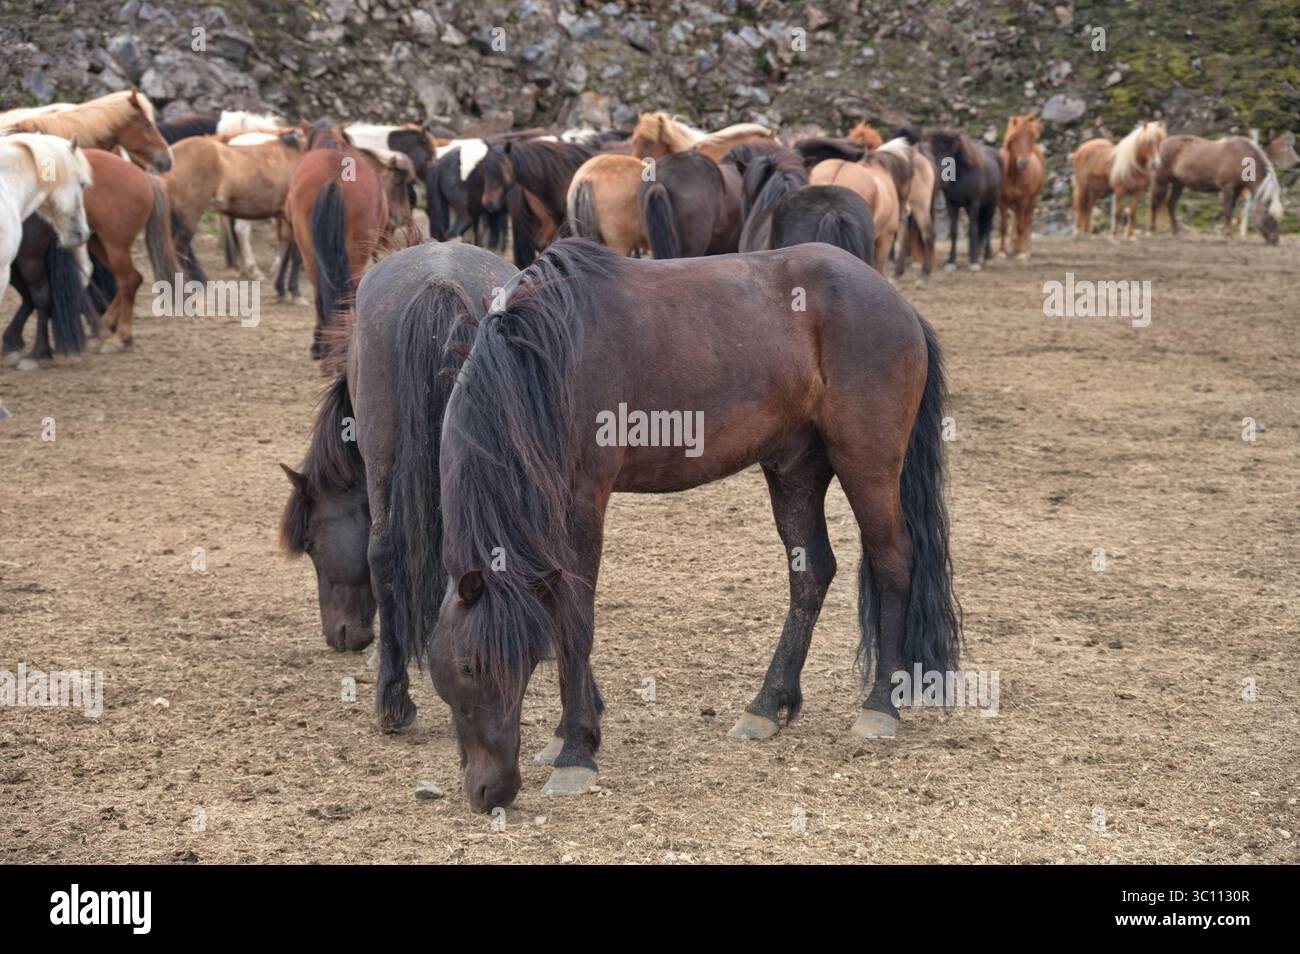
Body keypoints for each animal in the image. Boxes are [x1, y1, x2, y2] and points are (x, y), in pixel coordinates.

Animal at [428, 238, 959, 812]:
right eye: (466, 667)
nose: (494, 790)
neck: (544, 357)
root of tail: (897, 304)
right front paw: (572, 732)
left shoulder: (584, 500)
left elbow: (577, 620)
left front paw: (575, 751)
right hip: (795, 466)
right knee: (811, 573)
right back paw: (768, 704)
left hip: (867, 464)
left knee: (892, 563)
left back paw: (880, 704)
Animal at [926, 129, 1003, 269]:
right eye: (933, 151)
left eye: (948, 152)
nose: (939, 179)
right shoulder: (952, 204)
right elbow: (954, 231)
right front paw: (951, 260)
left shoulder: (974, 203)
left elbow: (972, 229)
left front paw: (974, 261)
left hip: (992, 203)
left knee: (988, 226)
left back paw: (987, 256)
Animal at [998, 114, 1046, 258]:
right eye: (1015, 138)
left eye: (1031, 139)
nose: (1023, 163)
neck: (1013, 175)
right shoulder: (1002, 201)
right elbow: (1003, 225)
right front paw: (1002, 251)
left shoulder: (1024, 200)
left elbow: (1021, 226)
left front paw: (1021, 252)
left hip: (1033, 199)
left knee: (1027, 221)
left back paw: (1024, 248)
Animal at [1150, 135, 1284, 244]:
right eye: (1270, 216)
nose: (1275, 240)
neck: (1240, 157)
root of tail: (1162, 144)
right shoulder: (1227, 188)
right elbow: (1228, 211)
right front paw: (1228, 236)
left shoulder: (1236, 191)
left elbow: (1230, 210)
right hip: (1161, 181)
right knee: (1155, 203)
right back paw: (1152, 231)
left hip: (1178, 185)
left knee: (1171, 205)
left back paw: (1176, 233)